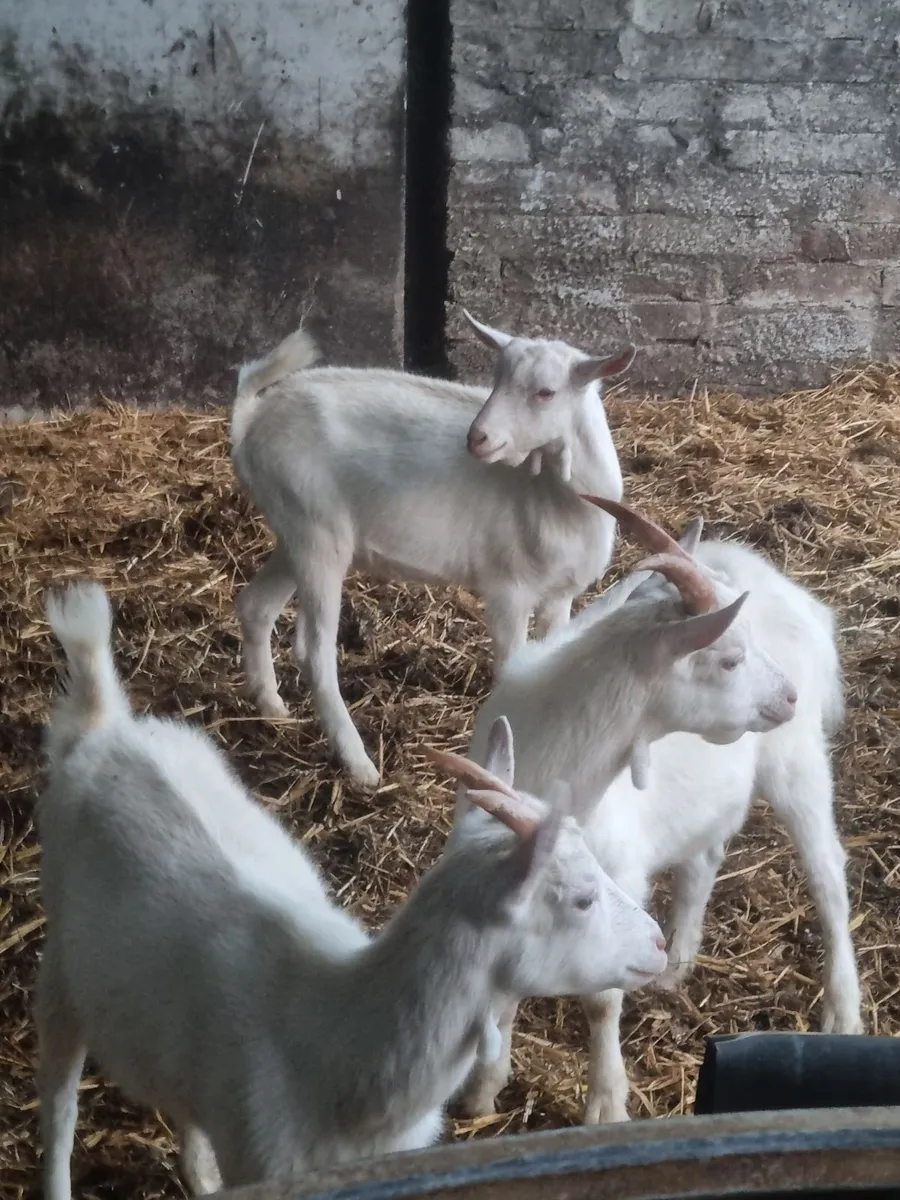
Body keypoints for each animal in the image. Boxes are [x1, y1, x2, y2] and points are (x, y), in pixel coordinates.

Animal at [36, 582, 667, 1197]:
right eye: (582, 898)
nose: (658, 942)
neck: (334, 1046)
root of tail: (106, 726)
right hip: (59, 962)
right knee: (60, 1104)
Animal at [230, 312, 634, 786]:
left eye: (546, 392)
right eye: (496, 378)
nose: (477, 438)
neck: (552, 494)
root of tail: (252, 420)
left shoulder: (559, 594)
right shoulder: (509, 589)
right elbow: (512, 666)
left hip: (295, 530)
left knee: (256, 606)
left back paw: (272, 708)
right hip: (316, 532)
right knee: (314, 653)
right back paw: (360, 764)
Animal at [449, 498, 854, 1123]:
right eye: (730, 659)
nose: (785, 694)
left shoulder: (618, 877)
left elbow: (600, 1002)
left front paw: (605, 1105)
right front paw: (483, 1088)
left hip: (796, 759)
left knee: (828, 871)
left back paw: (843, 1009)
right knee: (704, 857)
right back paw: (680, 961)